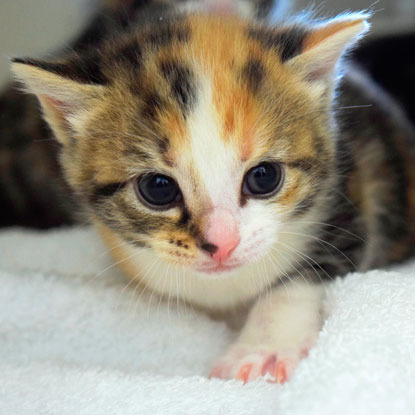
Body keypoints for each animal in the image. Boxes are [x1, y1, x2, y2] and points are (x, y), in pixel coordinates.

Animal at [10, 0, 415, 386]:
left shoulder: (358, 183)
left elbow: (308, 269)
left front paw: (264, 348)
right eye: (157, 188)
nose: (221, 244)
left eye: (264, 177)